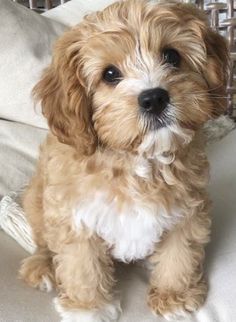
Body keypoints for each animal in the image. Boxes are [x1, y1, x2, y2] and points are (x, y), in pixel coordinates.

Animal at [19, 0, 230, 320]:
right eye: (109, 74)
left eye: (172, 56)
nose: (154, 98)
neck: (137, 162)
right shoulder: (75, 218)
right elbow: (82, 267)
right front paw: (88, 309)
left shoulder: (187, 212)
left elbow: (179, 255)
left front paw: (173, 297)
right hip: (36, 200)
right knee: (44, 242)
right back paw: (42, 265)